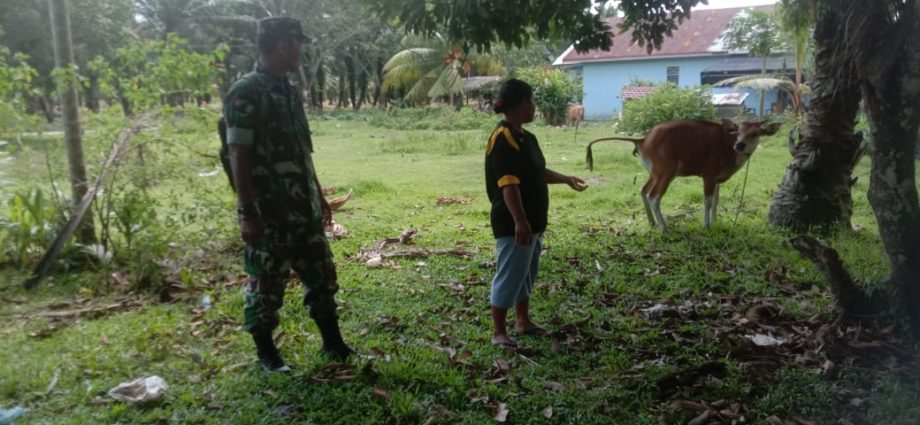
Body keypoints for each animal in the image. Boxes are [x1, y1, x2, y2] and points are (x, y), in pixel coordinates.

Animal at [585, 119, 781, 231]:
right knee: (654, 196)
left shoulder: (717, 179)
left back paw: (652, 222)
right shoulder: (708, 175)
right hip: (666, 172)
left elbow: (716, 201)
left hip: (655, 172)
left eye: (755, 133)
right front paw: (706, 225)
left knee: (643, 191)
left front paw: (715, 221)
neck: (727, 149)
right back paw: (664, 227)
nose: (739, 145)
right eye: (738, 131)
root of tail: (643, 139)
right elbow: (707, 202)